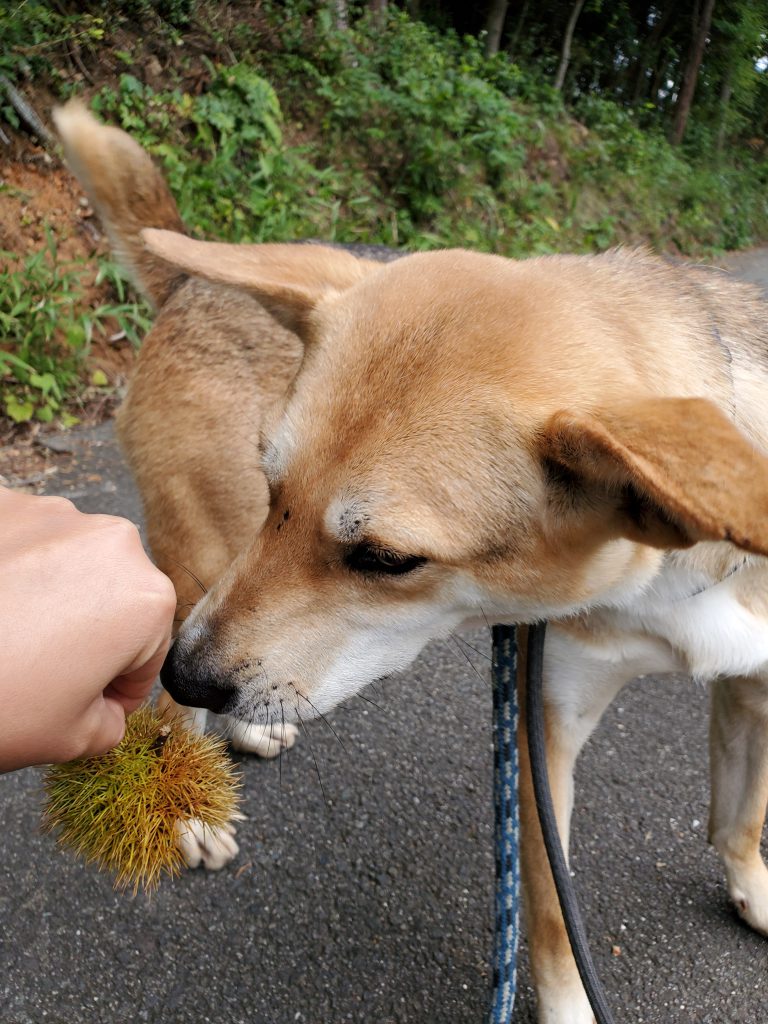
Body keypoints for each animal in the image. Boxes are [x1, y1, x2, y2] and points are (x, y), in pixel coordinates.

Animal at [55, 100, 768, 1023]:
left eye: (388, 559)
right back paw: (187, 803)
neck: (679, 570)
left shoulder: (753, 687)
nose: (187, 672)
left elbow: (742, 816)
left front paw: (754, 891)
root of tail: (190, 281)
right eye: (276, 483)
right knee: (178, 693)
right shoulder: (543, 736)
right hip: (202, 565)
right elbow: (549, 917)